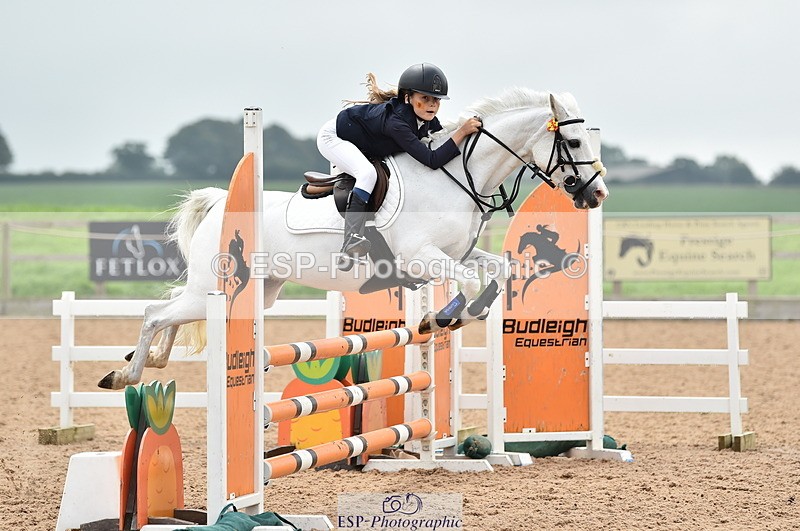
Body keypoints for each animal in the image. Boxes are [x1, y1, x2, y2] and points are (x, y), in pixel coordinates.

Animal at [97, 89, 609, 389]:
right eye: (575, 144)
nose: (597, 194)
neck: (453, 176)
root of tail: (221, 201)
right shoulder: (421, 257)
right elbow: (465, 284)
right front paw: (442, 318)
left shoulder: (454, 253)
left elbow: (497, 271)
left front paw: (457, 314)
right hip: (219, 284)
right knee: (155, 312)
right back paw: (125, 374)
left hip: (256, 292)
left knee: (172, 310)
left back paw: (153, 361)